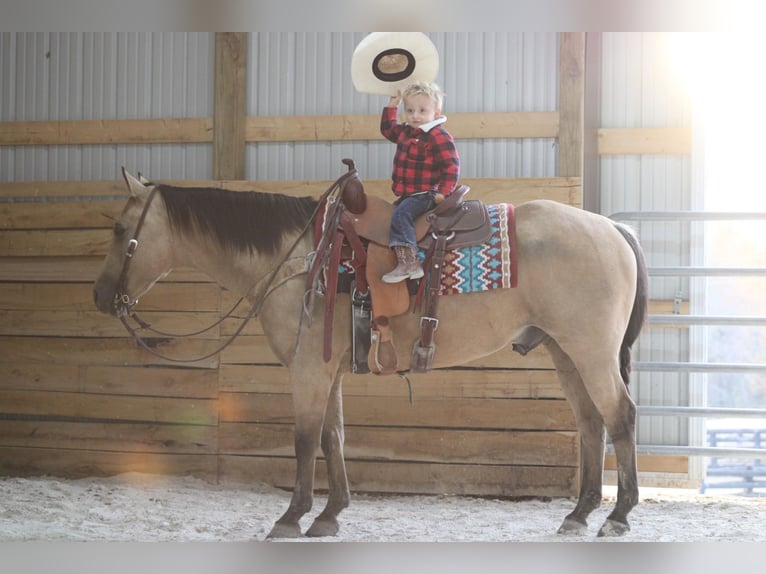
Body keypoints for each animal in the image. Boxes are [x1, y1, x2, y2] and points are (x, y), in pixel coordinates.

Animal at [93, 161, 652, 540]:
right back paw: (579, 514)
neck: (300, 259)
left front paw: (291, 517)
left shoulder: (308, 370)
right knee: (591, 423)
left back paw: (618, 516)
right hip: (565, 351)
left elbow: (305, 440)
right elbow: (333, 436)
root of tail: (611, 227)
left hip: (591, 351)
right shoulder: (329, 369)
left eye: (120, 231)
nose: (99, 296)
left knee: (620, 415)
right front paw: (330, 514)